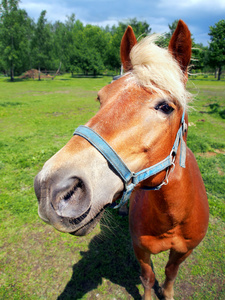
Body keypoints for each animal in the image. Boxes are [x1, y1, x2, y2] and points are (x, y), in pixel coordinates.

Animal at [34, 19, 209, 298]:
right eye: (100, 98)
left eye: (166, 107)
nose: (50, 187)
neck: (174, 216)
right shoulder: (141, 248)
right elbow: (148, 277)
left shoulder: (184, 251)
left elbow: (170, 273)